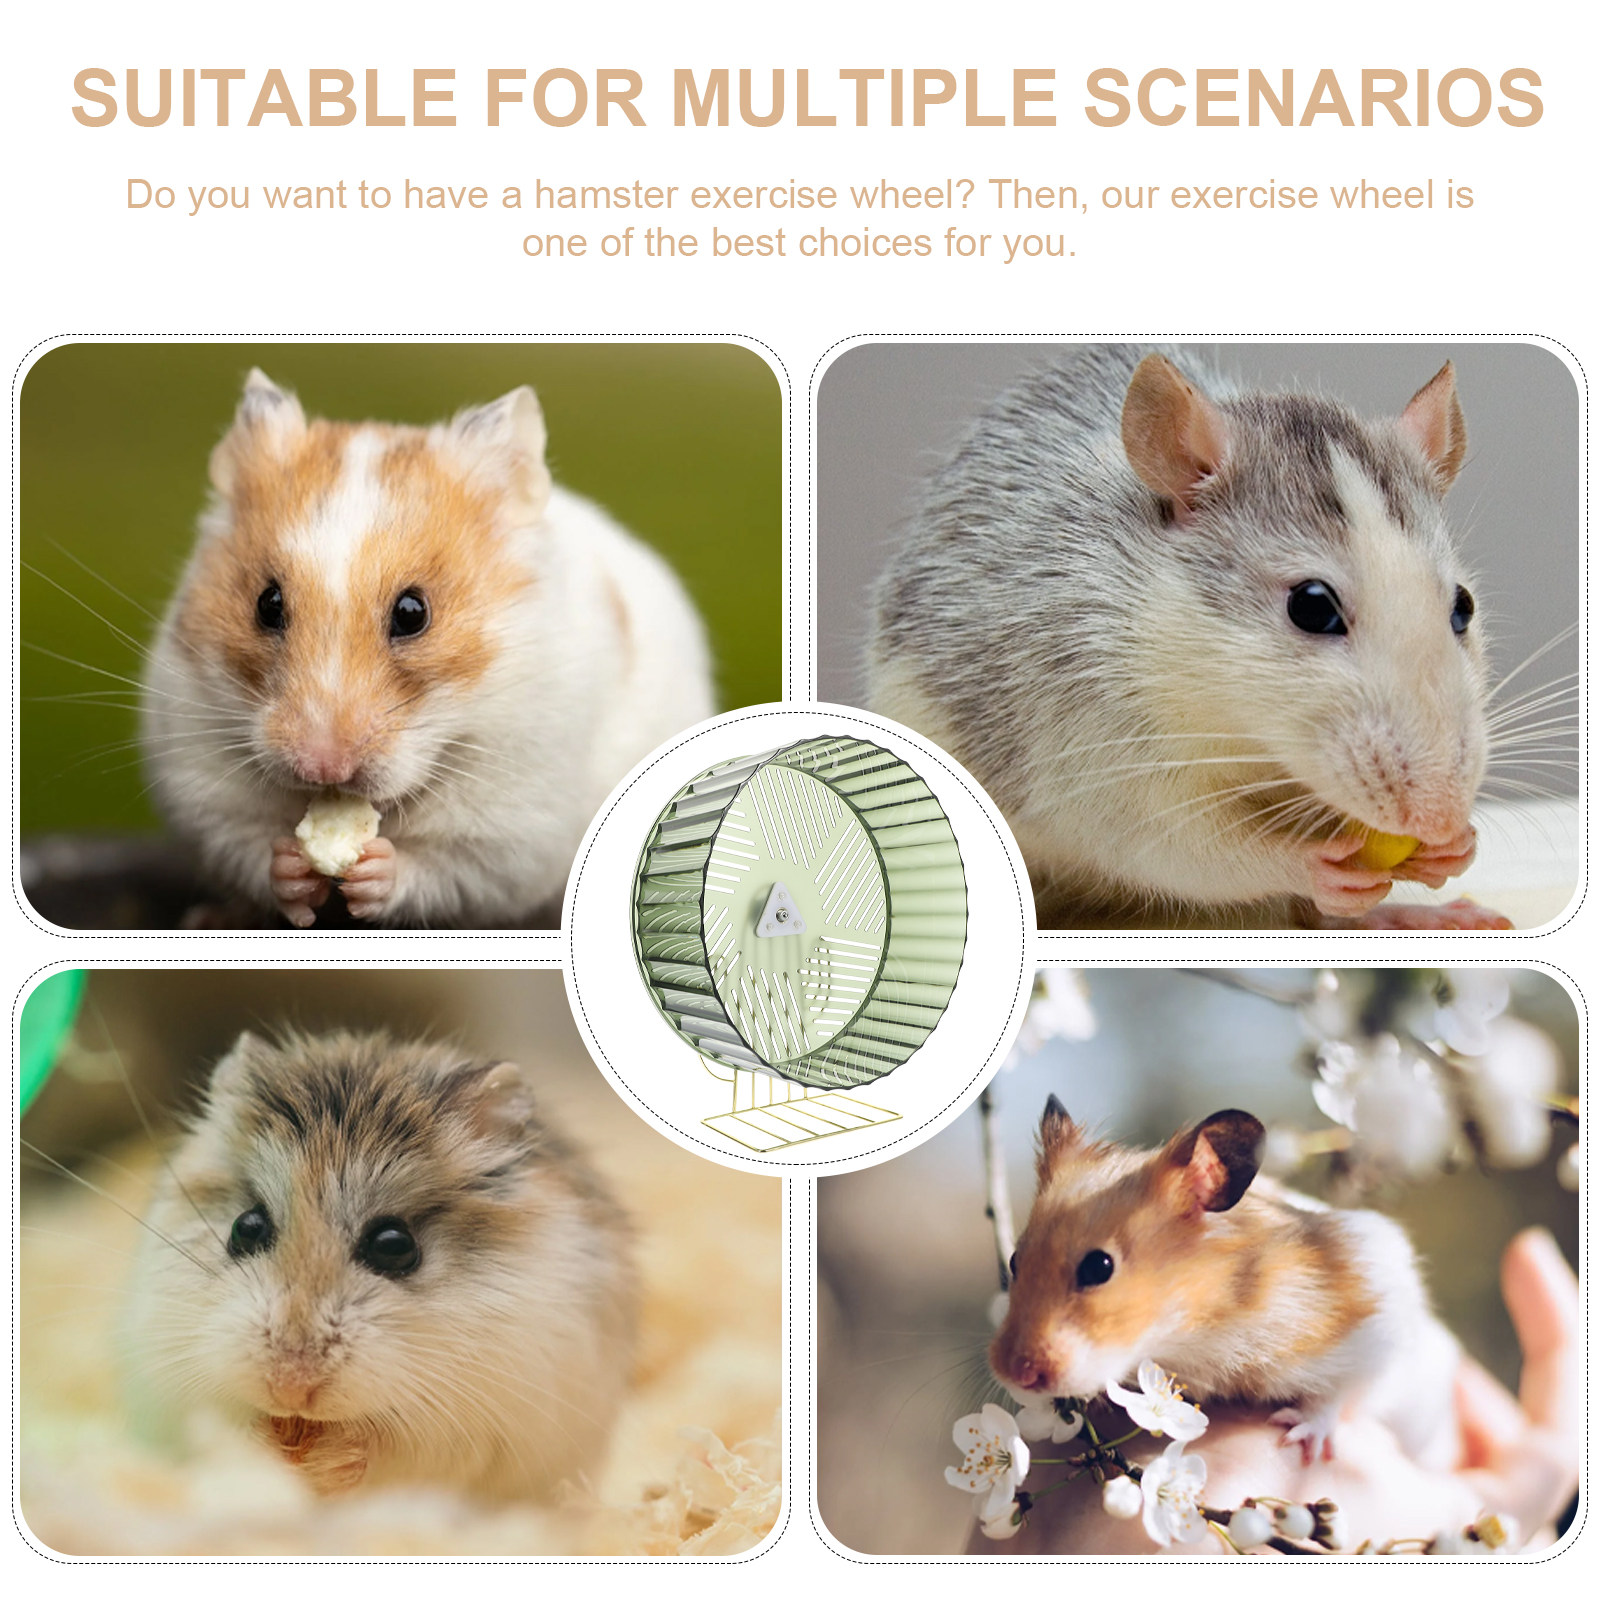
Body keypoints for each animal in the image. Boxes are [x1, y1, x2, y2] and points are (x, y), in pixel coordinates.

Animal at [124, 1029, 637, 1502]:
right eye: (245, 1228)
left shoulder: (474, 1425)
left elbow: (389, 1450)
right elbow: (219, 1428)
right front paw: (271, 1450)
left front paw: (326, 1462)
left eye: (394, 1246)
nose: (290, 1389)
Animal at [141, 370, 714, 928]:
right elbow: (249, 846)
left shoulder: (512, 830)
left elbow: (442, 869)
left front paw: (374, 869)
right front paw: (292, 866)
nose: (323, 769)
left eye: (413, 613)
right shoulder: (203, 786)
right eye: (267, 603)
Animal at [869, 347, 1509, 931]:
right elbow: (1172, 846)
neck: (1247, 740)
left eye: (1463, 607)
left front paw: (1456, 847)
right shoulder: (1091, 727)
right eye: (1312, 606)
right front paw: (1309, 865)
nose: (1438, 815)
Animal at [989, 1099, 1459, 1468]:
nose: (1014, 1374)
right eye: (1014, 1261)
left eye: (1098, 1267)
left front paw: (1299, 1437)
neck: (1198, 1327)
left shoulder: (1377, 1318)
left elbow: (1339, 1393)